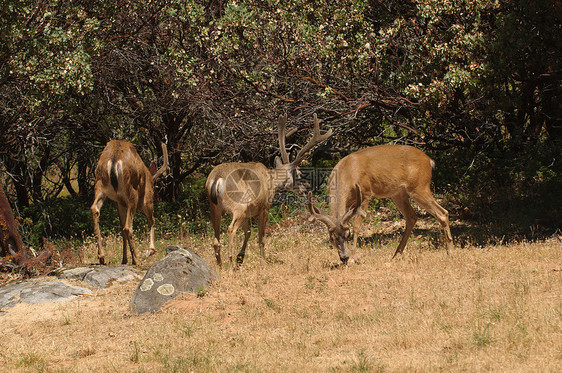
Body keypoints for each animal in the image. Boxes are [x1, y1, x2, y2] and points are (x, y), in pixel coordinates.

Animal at [205, 112, 330, 266]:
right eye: (299, 174)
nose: (304, 189)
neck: (271, 181)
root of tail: (217, 178)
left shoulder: (248, 213)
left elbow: (248, 232)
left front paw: (240, 257)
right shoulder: (264, 207)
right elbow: (261, 237)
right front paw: (262, 261)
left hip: (214, 207)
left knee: (216, 239)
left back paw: (221, 265)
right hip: (239, 206)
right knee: (230, 229)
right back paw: (230, 264)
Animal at [304, 144, 452, 264]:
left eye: (348, 235)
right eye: (332, 238)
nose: (344, 258)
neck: (347, 172)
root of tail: (429, 160)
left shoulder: (365, 194)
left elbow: (357, 226)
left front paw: (353, 258)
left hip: (419, 187)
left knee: (442, 212)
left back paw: (450, 252)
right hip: (398, 193)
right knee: (412, 216)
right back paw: (396, 255)